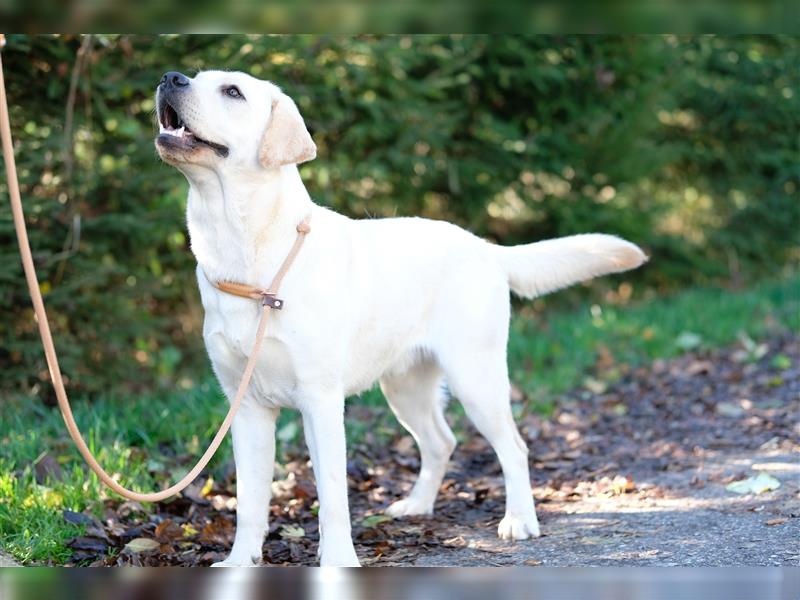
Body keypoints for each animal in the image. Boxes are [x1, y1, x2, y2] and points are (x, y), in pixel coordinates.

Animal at [153, 70, 648, 568]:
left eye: (232, 92)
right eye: (196, 77)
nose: (170, 77)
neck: (248, 256)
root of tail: (486, 248)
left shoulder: (321, 401)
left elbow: (332, 496)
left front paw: (337, 560)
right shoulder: (247, 407)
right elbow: (251, 501)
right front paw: (240, 562)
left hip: (476, 379)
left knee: (514, 446)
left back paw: (519, 520)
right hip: (404, 387)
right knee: (441, 442)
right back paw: (418, 505)